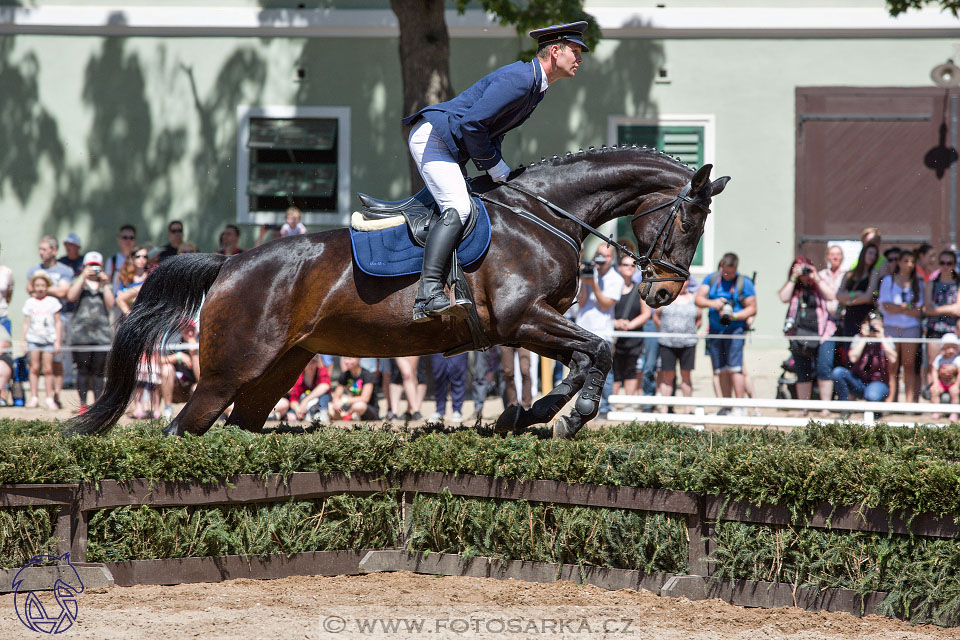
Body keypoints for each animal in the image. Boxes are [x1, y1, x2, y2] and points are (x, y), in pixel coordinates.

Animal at [67, 148, 728, 440]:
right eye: (692, 220)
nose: (663, 292)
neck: (544, 216)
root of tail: (230, 263)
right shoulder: (523, 319)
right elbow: (600, 353)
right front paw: (573, 416)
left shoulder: (530, 326)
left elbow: (584, 359)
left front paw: (529, 414)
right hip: (228, 371)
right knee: (183, 428)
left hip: (279, 369)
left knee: (240, 427)